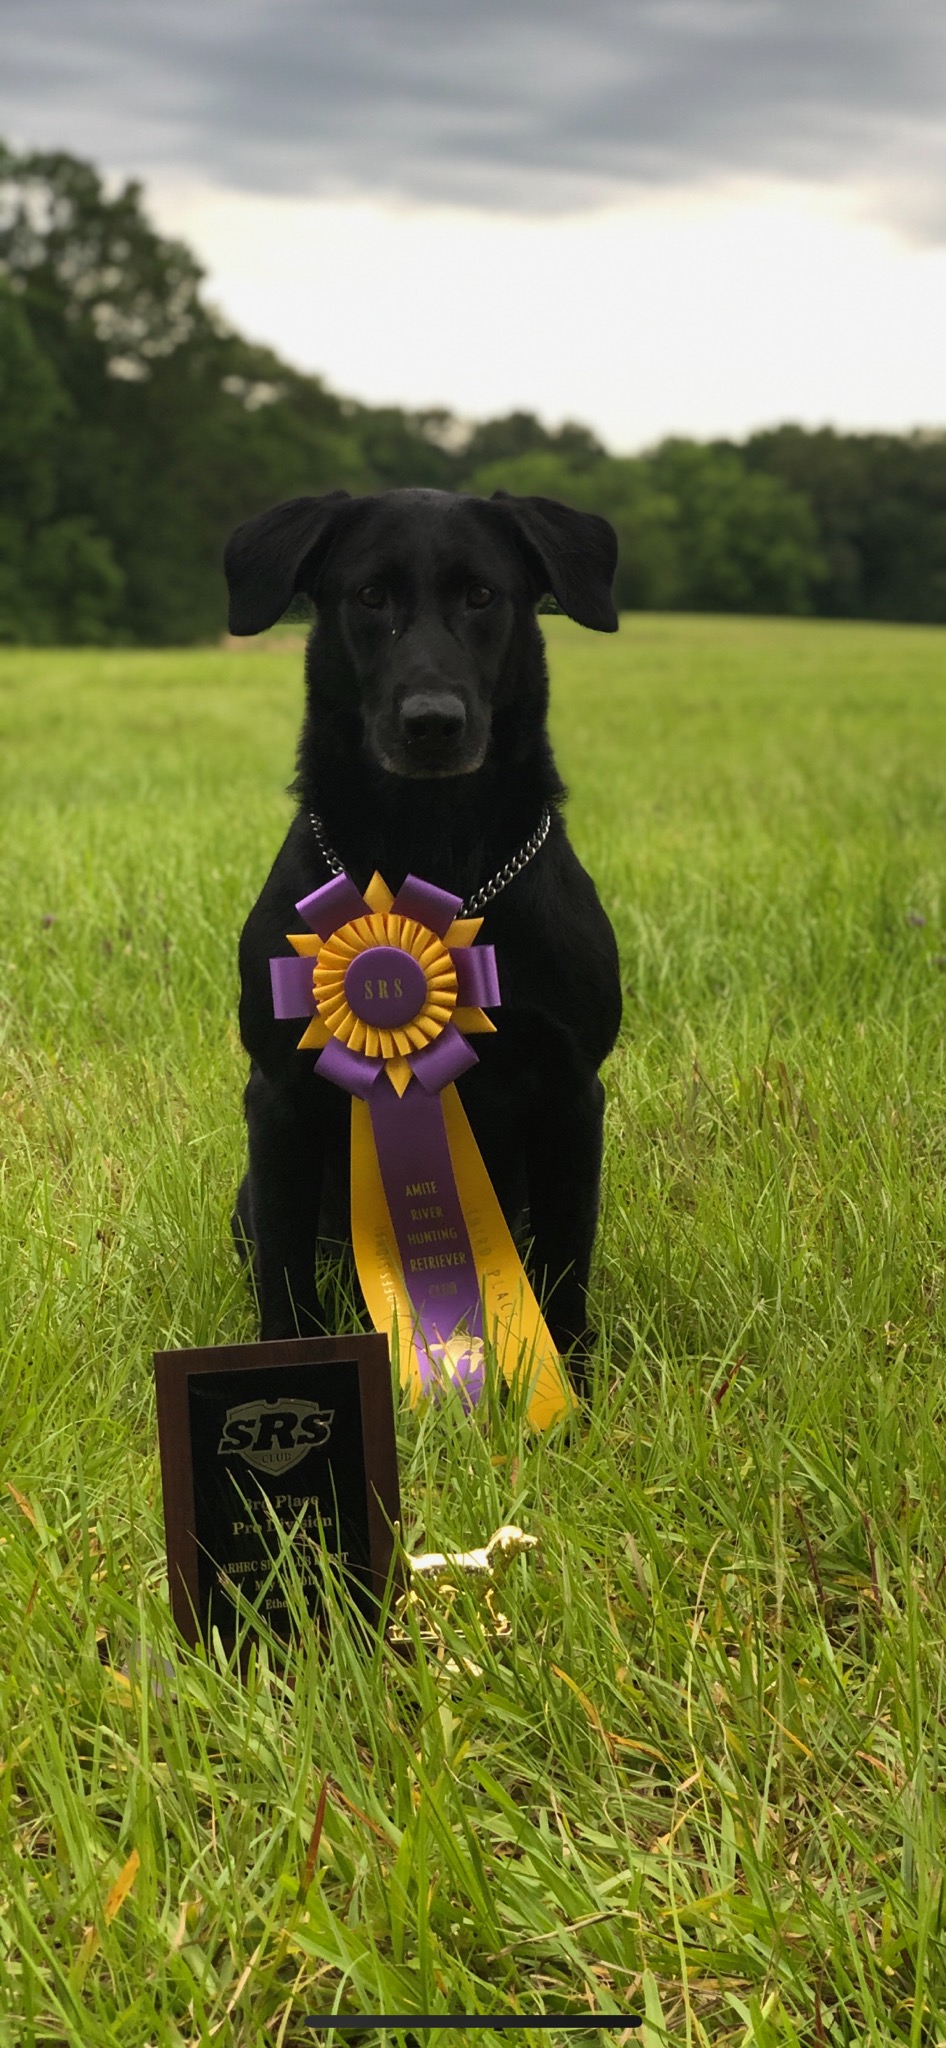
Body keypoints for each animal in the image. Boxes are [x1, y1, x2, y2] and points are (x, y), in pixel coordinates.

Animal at [222, 487, 622, 1384]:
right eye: (371, 596)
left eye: (481, 596)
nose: (432, 723)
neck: (431, 851)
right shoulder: (280, 1096)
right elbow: (285, 1274)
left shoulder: (571, 1092)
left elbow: (567, 1265)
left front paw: (576, 1387)